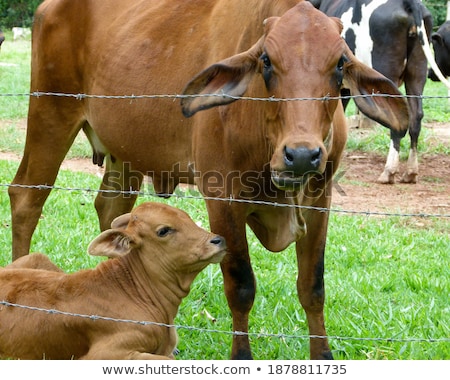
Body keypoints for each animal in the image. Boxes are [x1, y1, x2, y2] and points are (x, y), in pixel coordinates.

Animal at [312, 0, 432, 184]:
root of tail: (408, 4)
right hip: (417, 71)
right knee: (416, 115)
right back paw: (410, 172)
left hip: (385, 70)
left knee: (397, 117)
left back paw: (389, 171)